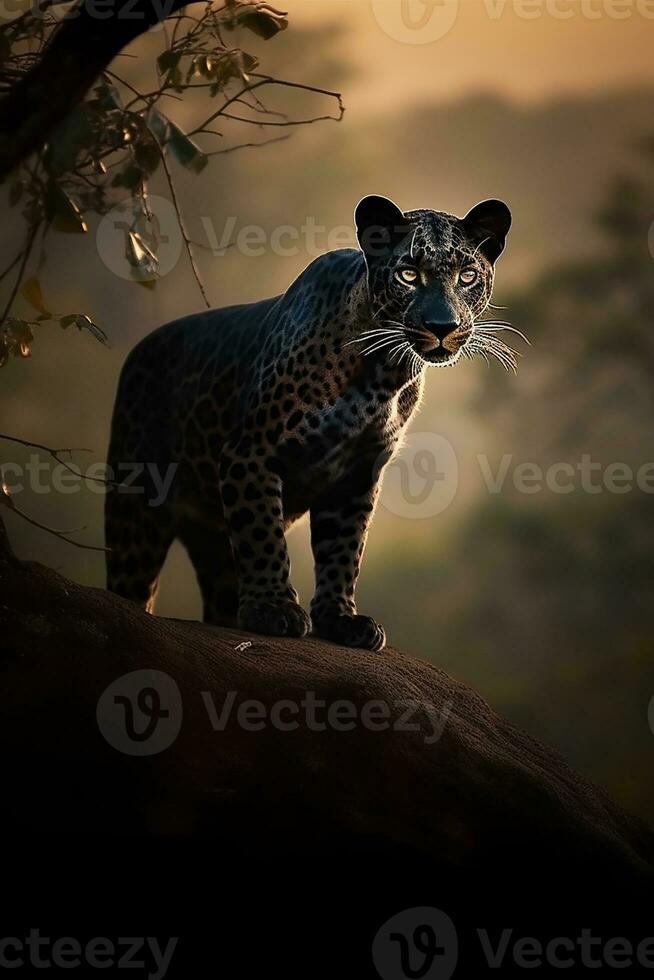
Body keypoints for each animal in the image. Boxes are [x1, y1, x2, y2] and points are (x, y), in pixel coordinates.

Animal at [107, 193, 516, 652]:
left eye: (467, 276)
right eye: (409, 274)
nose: (443, 326)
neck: (382, 371)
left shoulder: (357, 473)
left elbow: (343, 550)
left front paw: (340, 619)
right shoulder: (251, 454)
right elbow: (263, 535)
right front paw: (275, 609)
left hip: (210, 536)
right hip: (136, 514)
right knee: (131, 585)